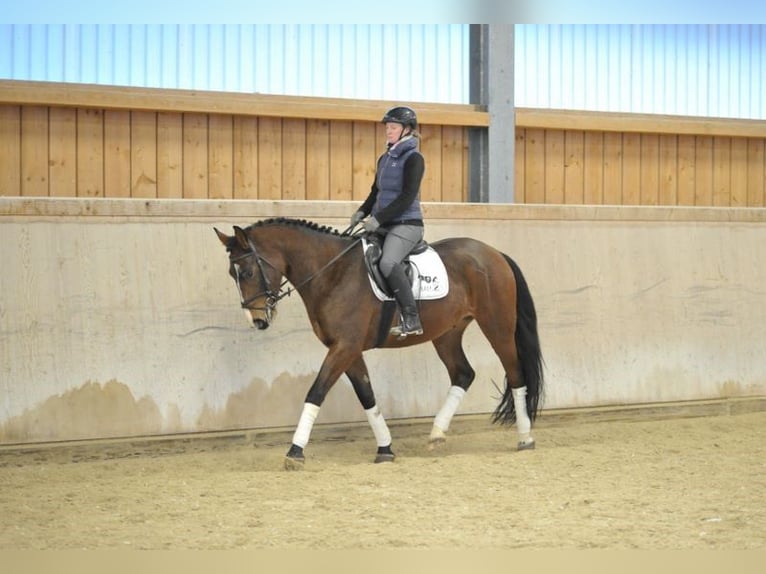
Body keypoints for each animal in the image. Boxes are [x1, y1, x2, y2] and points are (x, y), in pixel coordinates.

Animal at [213, 218, 544, 470]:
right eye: (232, 273)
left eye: (248, 271)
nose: (258, 321)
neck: (332, 273)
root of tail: (494, 253)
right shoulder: (348, 349)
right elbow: (367, 395)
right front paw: (385, 448)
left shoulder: (344, 347)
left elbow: (316, 392)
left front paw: (295, 451)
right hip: (447, 333)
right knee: (463, 373)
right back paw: (437, 433)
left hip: (497, 326)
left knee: (515, 373)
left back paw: (525, 438)